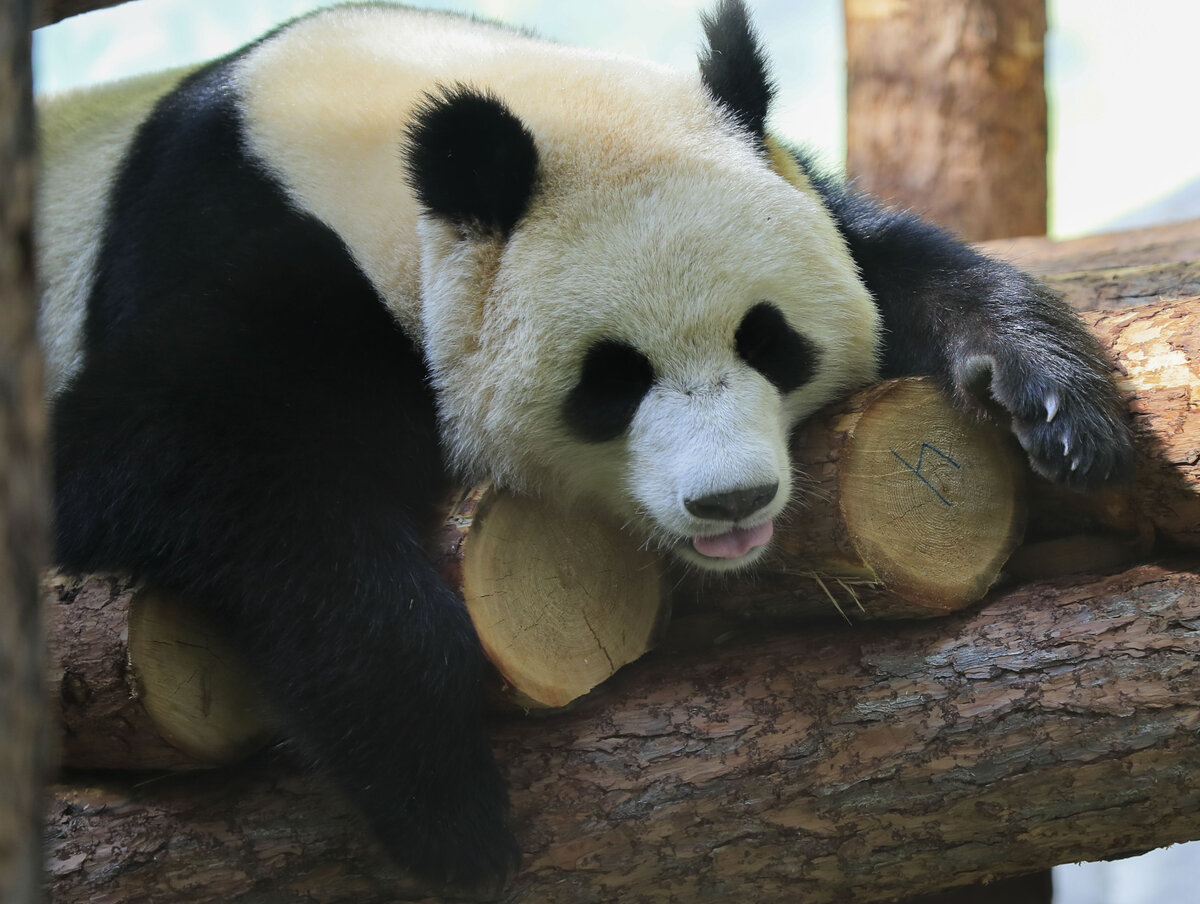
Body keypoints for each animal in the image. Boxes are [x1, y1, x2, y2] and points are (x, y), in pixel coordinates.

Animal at [37, 0, 1132, 888]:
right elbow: (169, 457)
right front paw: (445, 803)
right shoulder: (244, 249)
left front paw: (1054, 400)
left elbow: (888, 254)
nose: (731, 500)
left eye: (768, 339)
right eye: (612, 381)